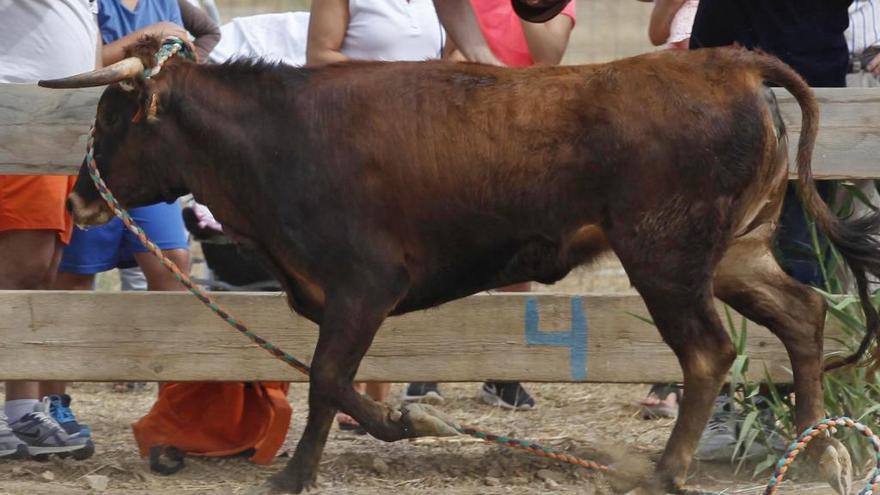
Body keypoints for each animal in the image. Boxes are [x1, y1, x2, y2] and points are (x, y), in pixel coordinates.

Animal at [39, 39, 880, 495]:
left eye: (112, 118)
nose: (77, 197)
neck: (280, 135)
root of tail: (730, 66)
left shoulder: (363, 287)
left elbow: (325, 380)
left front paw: (317, 461)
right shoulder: (345, 296)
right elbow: (334, 384)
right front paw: (387, 427)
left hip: (666, 260)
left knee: (707, 352)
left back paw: (666, 467)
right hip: (734, 253)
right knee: (804, 315)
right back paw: (820, 449)